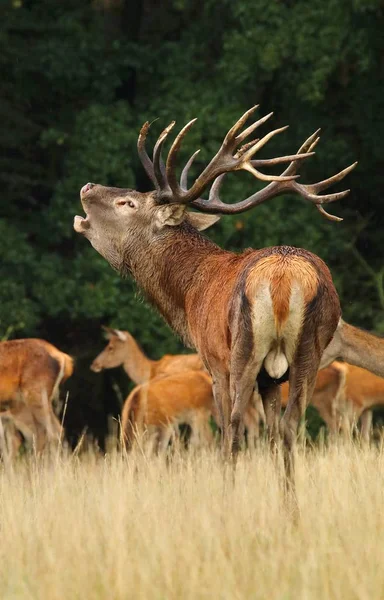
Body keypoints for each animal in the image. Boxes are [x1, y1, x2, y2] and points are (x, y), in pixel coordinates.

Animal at [73, 106, 356, 482]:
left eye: (127, 202)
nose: (87, 186)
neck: (189, 294)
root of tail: (284, 280)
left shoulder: (213, 360)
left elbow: (227, 431)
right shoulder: (270, 380)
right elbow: (271, 434)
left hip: (243, 351)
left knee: (233, 429)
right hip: (309, 352)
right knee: (288, 427)